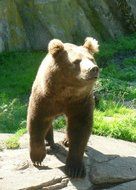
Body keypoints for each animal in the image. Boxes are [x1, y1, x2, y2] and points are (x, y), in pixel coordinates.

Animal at [26, 37, 99, 178]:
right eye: (76, 61)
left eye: (91, 59)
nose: (94, 69)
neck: (66, 92)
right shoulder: (44, 98)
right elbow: (37, 121)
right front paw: (37, 158)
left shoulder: (80, 102)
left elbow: (79, 129)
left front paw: (75, 168)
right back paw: (49, 141)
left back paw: (66, 141)